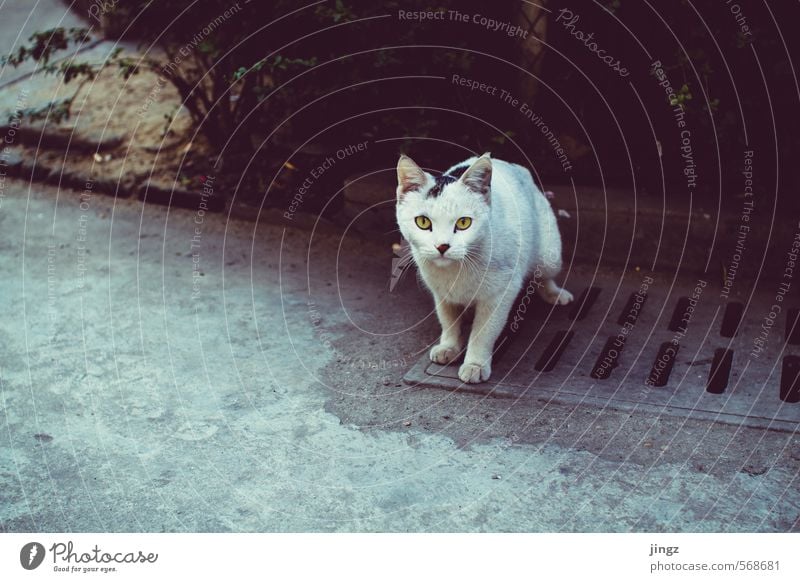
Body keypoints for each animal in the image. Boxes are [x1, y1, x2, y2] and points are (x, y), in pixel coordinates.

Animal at [396, 153, 572, 386]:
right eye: (423, 222)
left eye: (463, 223)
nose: (442, 246)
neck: (457, 269)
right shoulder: (441, 292)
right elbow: (448, 319)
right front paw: (449, 346)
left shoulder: (501, 292)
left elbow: (483, 332)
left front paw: (475, 364)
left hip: (549, 256)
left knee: (544, 275)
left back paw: (555, 293)